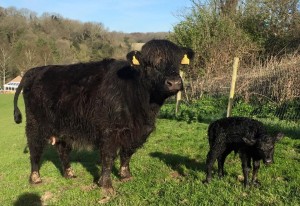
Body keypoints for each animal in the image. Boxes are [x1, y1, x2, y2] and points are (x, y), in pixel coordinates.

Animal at [13, 39, 195, 195]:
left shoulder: (137, 132)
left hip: (63, 127)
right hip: (35, 123)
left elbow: (127, 153)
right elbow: (108, 157)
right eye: (149, 64)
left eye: (178, 62)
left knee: (62, 149)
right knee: (35, 149)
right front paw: (106, 185)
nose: (174, 83)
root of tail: (35, 70)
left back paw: (69, 173)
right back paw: (35, 178)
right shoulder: (108, 131)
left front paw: (125, 175)